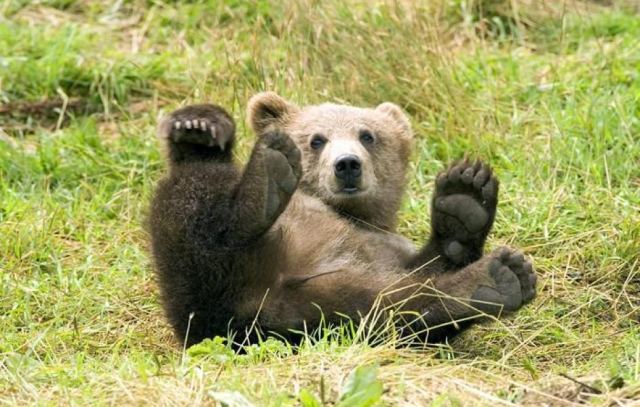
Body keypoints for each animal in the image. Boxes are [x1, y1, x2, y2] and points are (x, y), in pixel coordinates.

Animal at [149, 92, 536, 347]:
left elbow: (427, 269)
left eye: (367, 135)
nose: (347, 164)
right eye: (317, 139)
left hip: (323, 307)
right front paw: (198, 124)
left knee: (393, 308)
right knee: (194, 203)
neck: (351, 213)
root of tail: (254, 305)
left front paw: (464, 198)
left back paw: (494, 279)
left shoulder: (384, 249)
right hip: (200, 282)